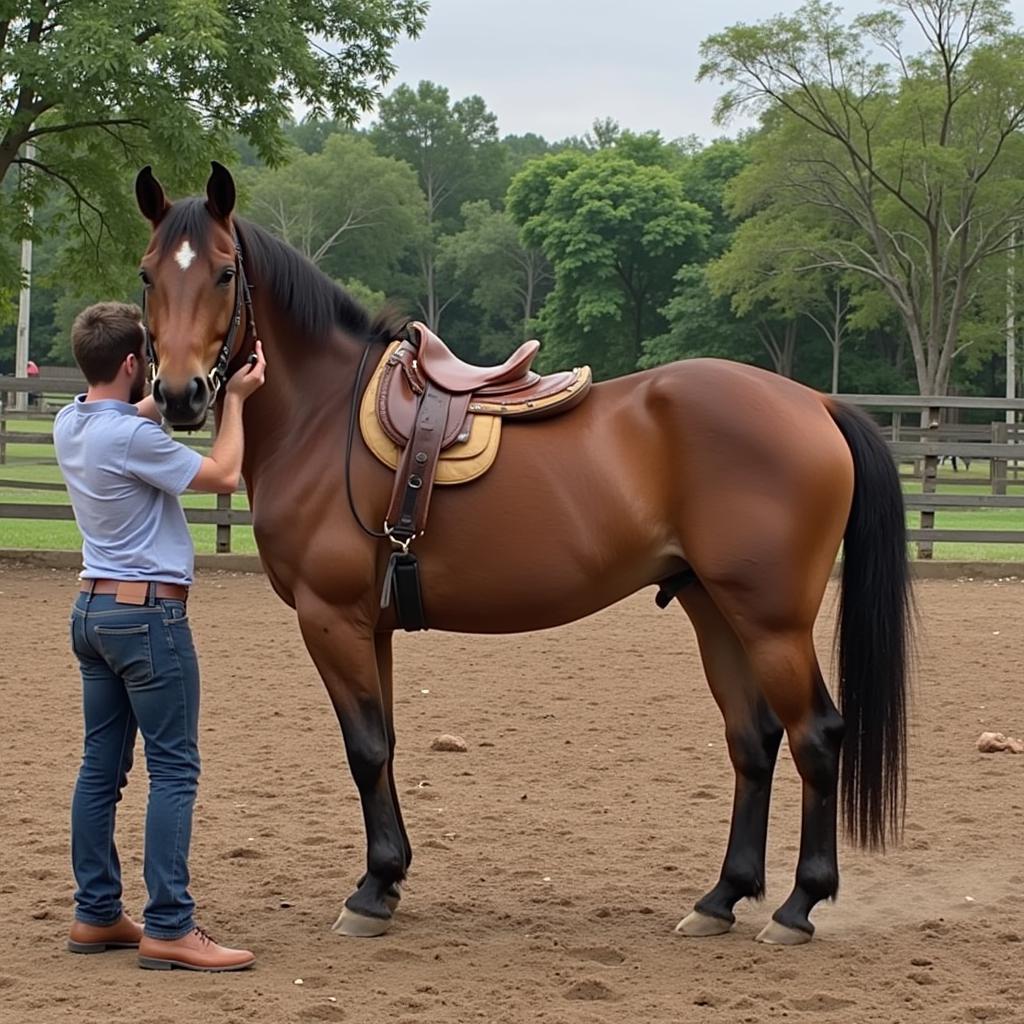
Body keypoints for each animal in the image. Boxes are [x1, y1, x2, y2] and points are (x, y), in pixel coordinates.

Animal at [136, 161, 913, 942]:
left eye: (225, 273)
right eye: (147, 274)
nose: (178, 395)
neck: (325, 418)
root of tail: (815, 403)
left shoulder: (330, 619)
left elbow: (366, 749)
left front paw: (372, 891)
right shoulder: (366, 626)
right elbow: (385, 742)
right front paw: (389, 878)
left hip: (772, 622)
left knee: (816, 735)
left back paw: (798, 906)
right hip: (715, 610)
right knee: (752, 741)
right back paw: (720, 897)